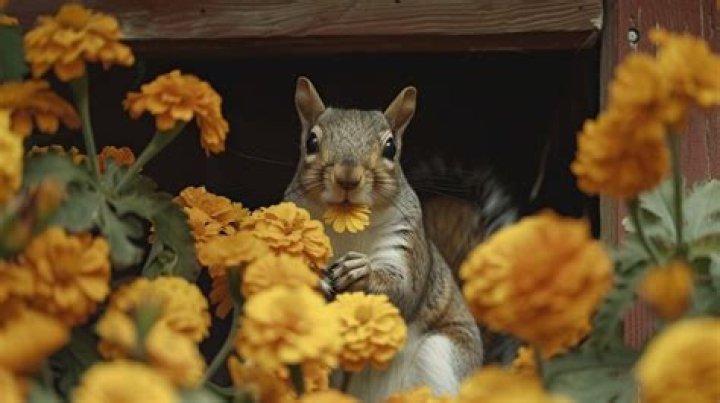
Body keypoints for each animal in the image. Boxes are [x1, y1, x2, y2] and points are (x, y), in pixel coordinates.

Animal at [284, 77, 510, 402]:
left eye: (391, 148)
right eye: (311, 142)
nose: (347, 178)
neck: (348, 228)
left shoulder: (405, 240)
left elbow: (405, 289)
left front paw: (361, 271)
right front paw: (310, 275)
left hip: (441, 354)